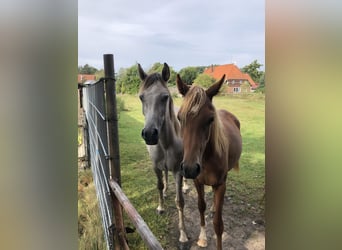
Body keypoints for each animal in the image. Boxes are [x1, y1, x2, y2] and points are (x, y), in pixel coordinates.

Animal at [138, 62, 188, 242]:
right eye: (141, 97)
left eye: (165, 97)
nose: (150, 134)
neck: (166, 143)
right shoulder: (156, 166)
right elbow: (159, 185)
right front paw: (160, 207)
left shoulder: (178, 170)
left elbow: (180, 201)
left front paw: (183, 235)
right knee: (165, 176)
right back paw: (166, 192)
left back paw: (186, 186)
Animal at [178, 74, 242, 250]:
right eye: (179, 118)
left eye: (210, 119)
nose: (190, 169)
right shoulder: (198, 182)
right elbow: (201, 207)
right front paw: (202, 238)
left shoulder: (220, 184)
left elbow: (218, 225)